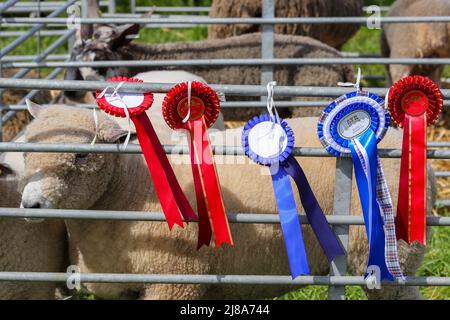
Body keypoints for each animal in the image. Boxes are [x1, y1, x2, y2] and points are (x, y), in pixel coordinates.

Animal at [19, 103, 430, 300]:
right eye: (24, 149)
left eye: (81, 156)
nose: (30, 204)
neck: (128, 186)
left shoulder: (177, 279)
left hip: (389, 254)